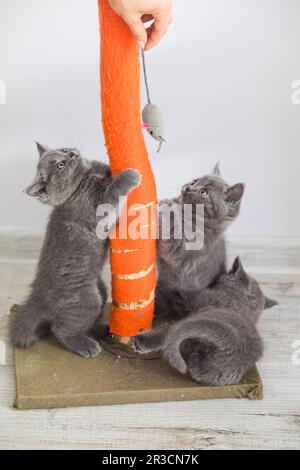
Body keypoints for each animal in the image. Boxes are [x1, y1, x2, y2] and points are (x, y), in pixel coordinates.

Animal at [9, 142, 141, 356]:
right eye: (60, 165)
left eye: (63, 151)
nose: (71, 152)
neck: (82, 184)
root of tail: (38, 293)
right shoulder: (96, 211)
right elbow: (112, 194)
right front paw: (128, 176)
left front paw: (104, 166)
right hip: (86, 300)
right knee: (61, 330)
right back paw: (86, 345)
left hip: (101, 289)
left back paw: (101, 331)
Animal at [132, 258, 278, 386]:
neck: (241, 302)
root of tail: (232, 343)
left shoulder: (198, 301)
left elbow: (184, 300)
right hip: (215, 374)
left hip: (186, 328)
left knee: (167, 336)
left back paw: (141, 342)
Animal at [156, 163, 245, 322]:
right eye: (194, 182)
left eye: (203, 192)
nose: (187, 188)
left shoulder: (185, 246)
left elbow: (172, 237)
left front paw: (168, 205)